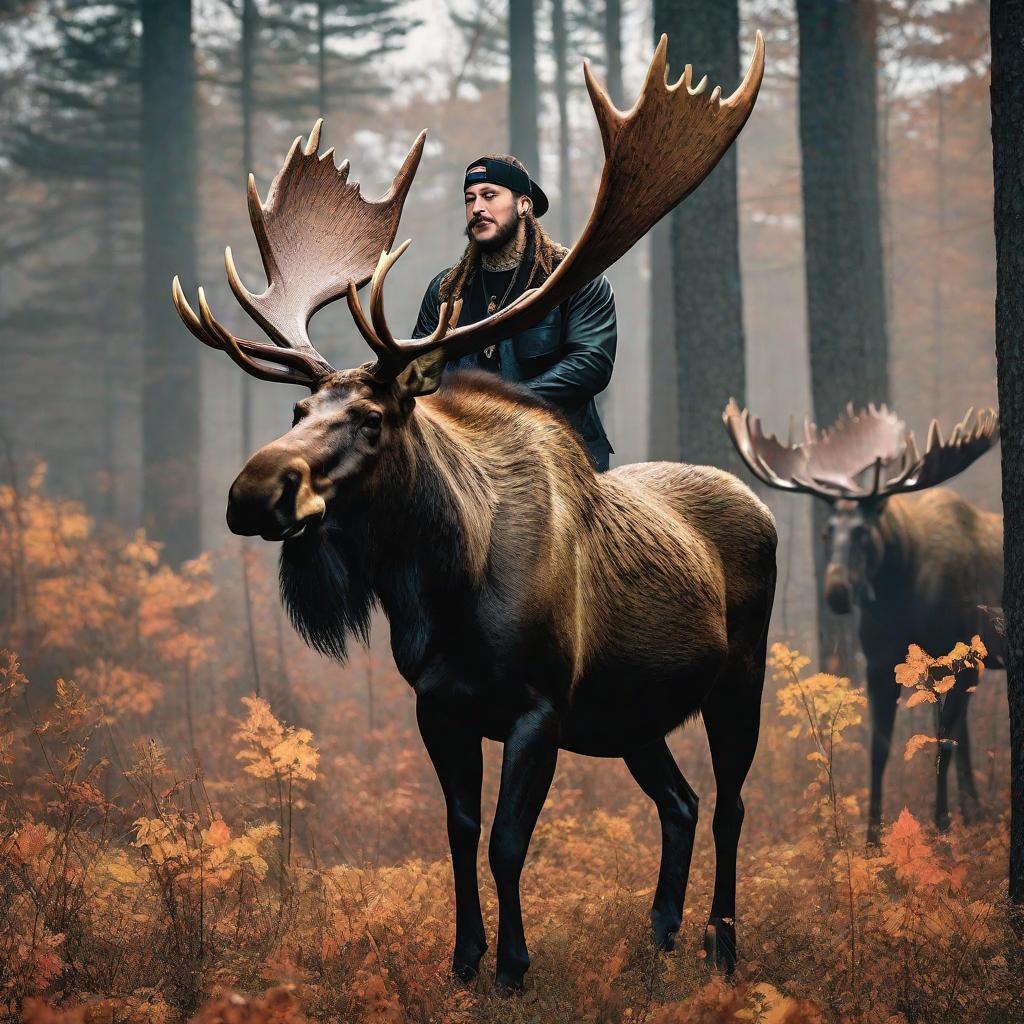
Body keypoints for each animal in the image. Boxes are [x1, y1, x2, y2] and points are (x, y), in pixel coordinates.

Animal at [169, 37, 774, 983]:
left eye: (372, 418)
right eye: (297, 409)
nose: (250, 491)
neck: (447, 590)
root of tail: (761, 505)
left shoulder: (539, 706)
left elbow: (507, 844)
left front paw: (515, 966)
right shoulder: (439, 704)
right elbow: (456, 834)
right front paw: (462, 960)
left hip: (739, 674)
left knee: (731, 804)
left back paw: (721, 944)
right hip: (629, 711)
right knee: (677, 802)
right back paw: (661, 932)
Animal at [724, 403, 1003, 843]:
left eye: (863, 532)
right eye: (826, 532)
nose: (837, 592)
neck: (902, 597)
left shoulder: (960, 656)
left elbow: (942, 742)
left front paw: (942, 827)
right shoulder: (880, 662)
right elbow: (881, 747)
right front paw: (872, 837)